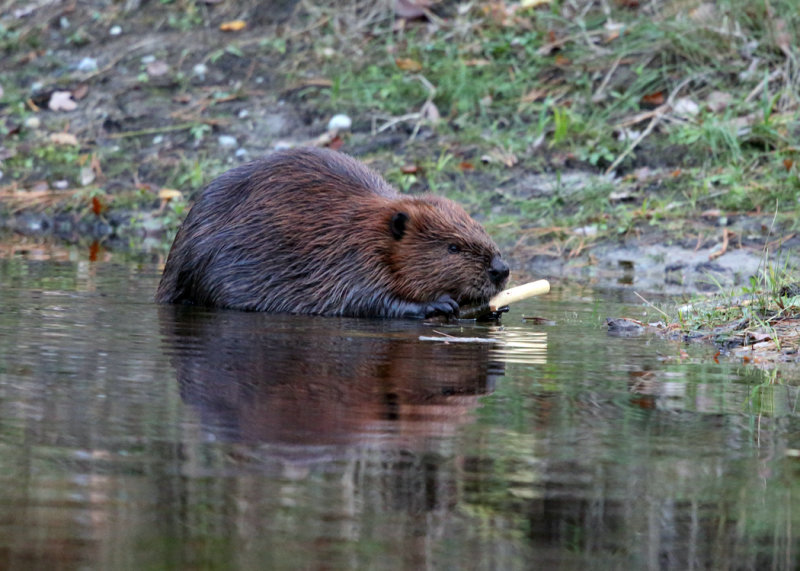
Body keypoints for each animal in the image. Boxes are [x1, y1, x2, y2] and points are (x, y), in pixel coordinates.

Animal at [153, 145, 510, 320]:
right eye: (453, 248)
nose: (501, 269)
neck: (368, 230)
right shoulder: (350, 261)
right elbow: (365, 301)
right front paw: (437, 305)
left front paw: (498, 309)